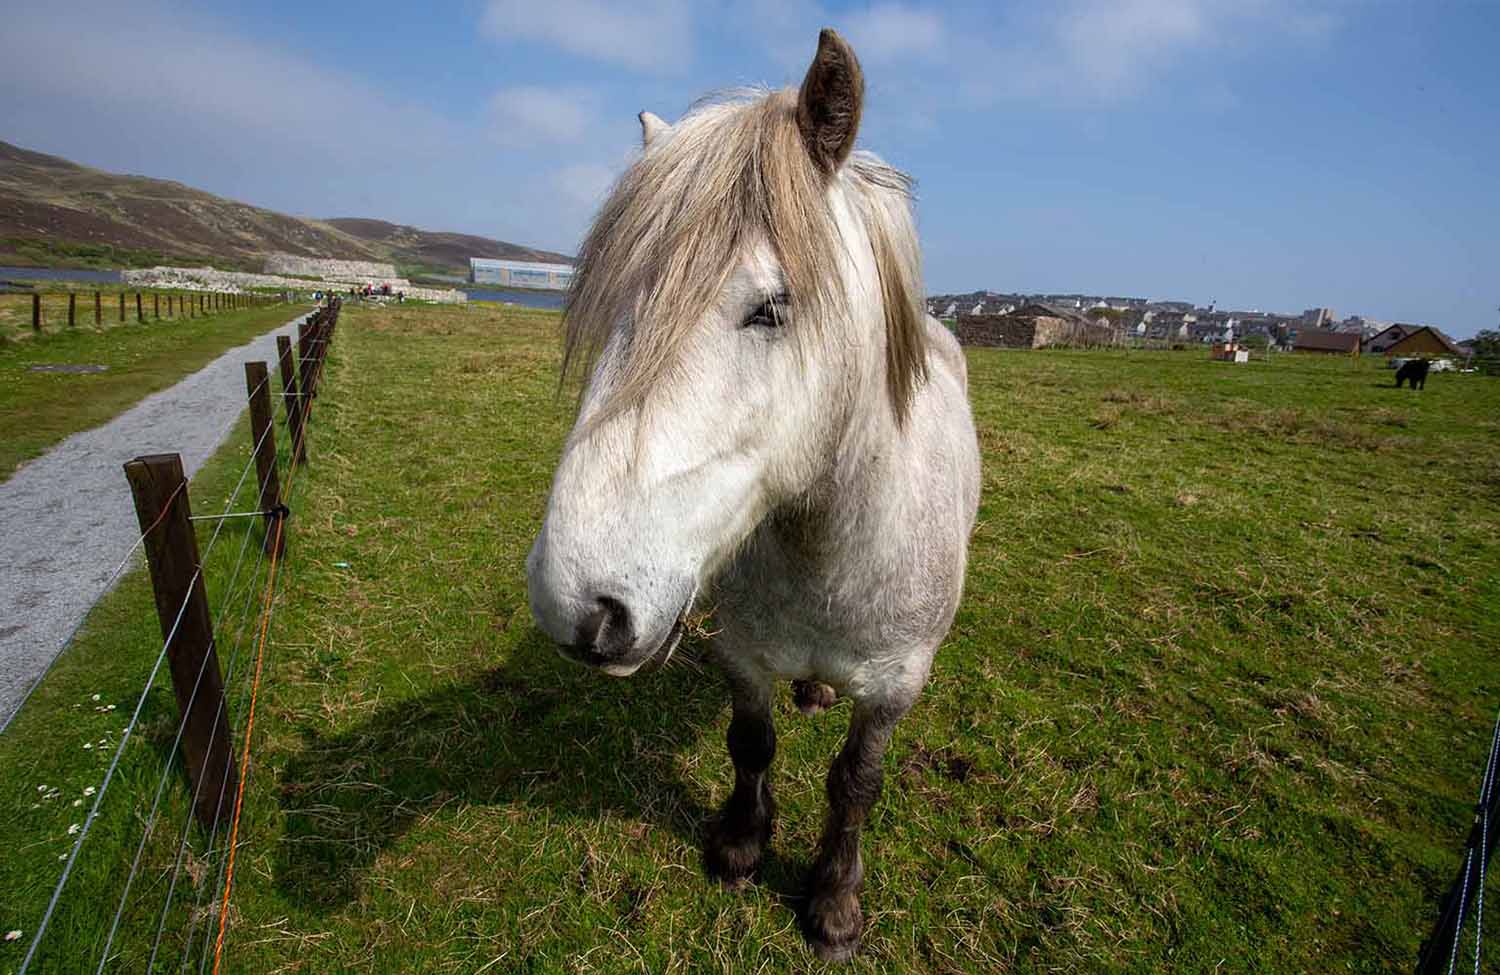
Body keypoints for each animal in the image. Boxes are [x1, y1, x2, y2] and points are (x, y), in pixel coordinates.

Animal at [531, 28, 984, 954]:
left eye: (771, 307)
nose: (575, 605)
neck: (830, 552)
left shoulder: (897, 684)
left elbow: (856, 782)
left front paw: (834, 900)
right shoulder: (742, 651)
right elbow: (752, 741)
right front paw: (740, 845)